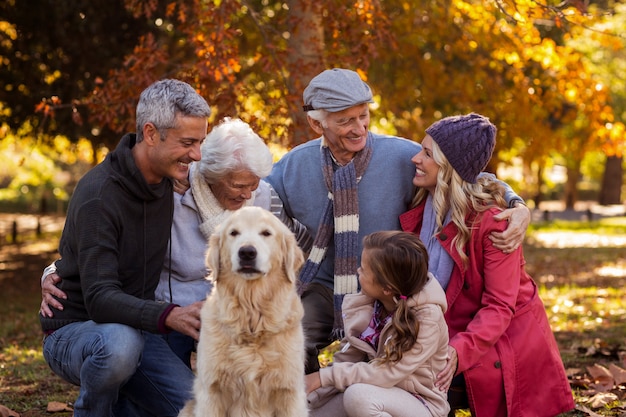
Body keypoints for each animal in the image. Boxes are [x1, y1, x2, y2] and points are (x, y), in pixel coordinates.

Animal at [178, 206, 308, 416]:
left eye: (266, 233)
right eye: (234, 233)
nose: (247, 252)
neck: (251, 317)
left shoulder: (290, 392)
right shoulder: (211, 391)